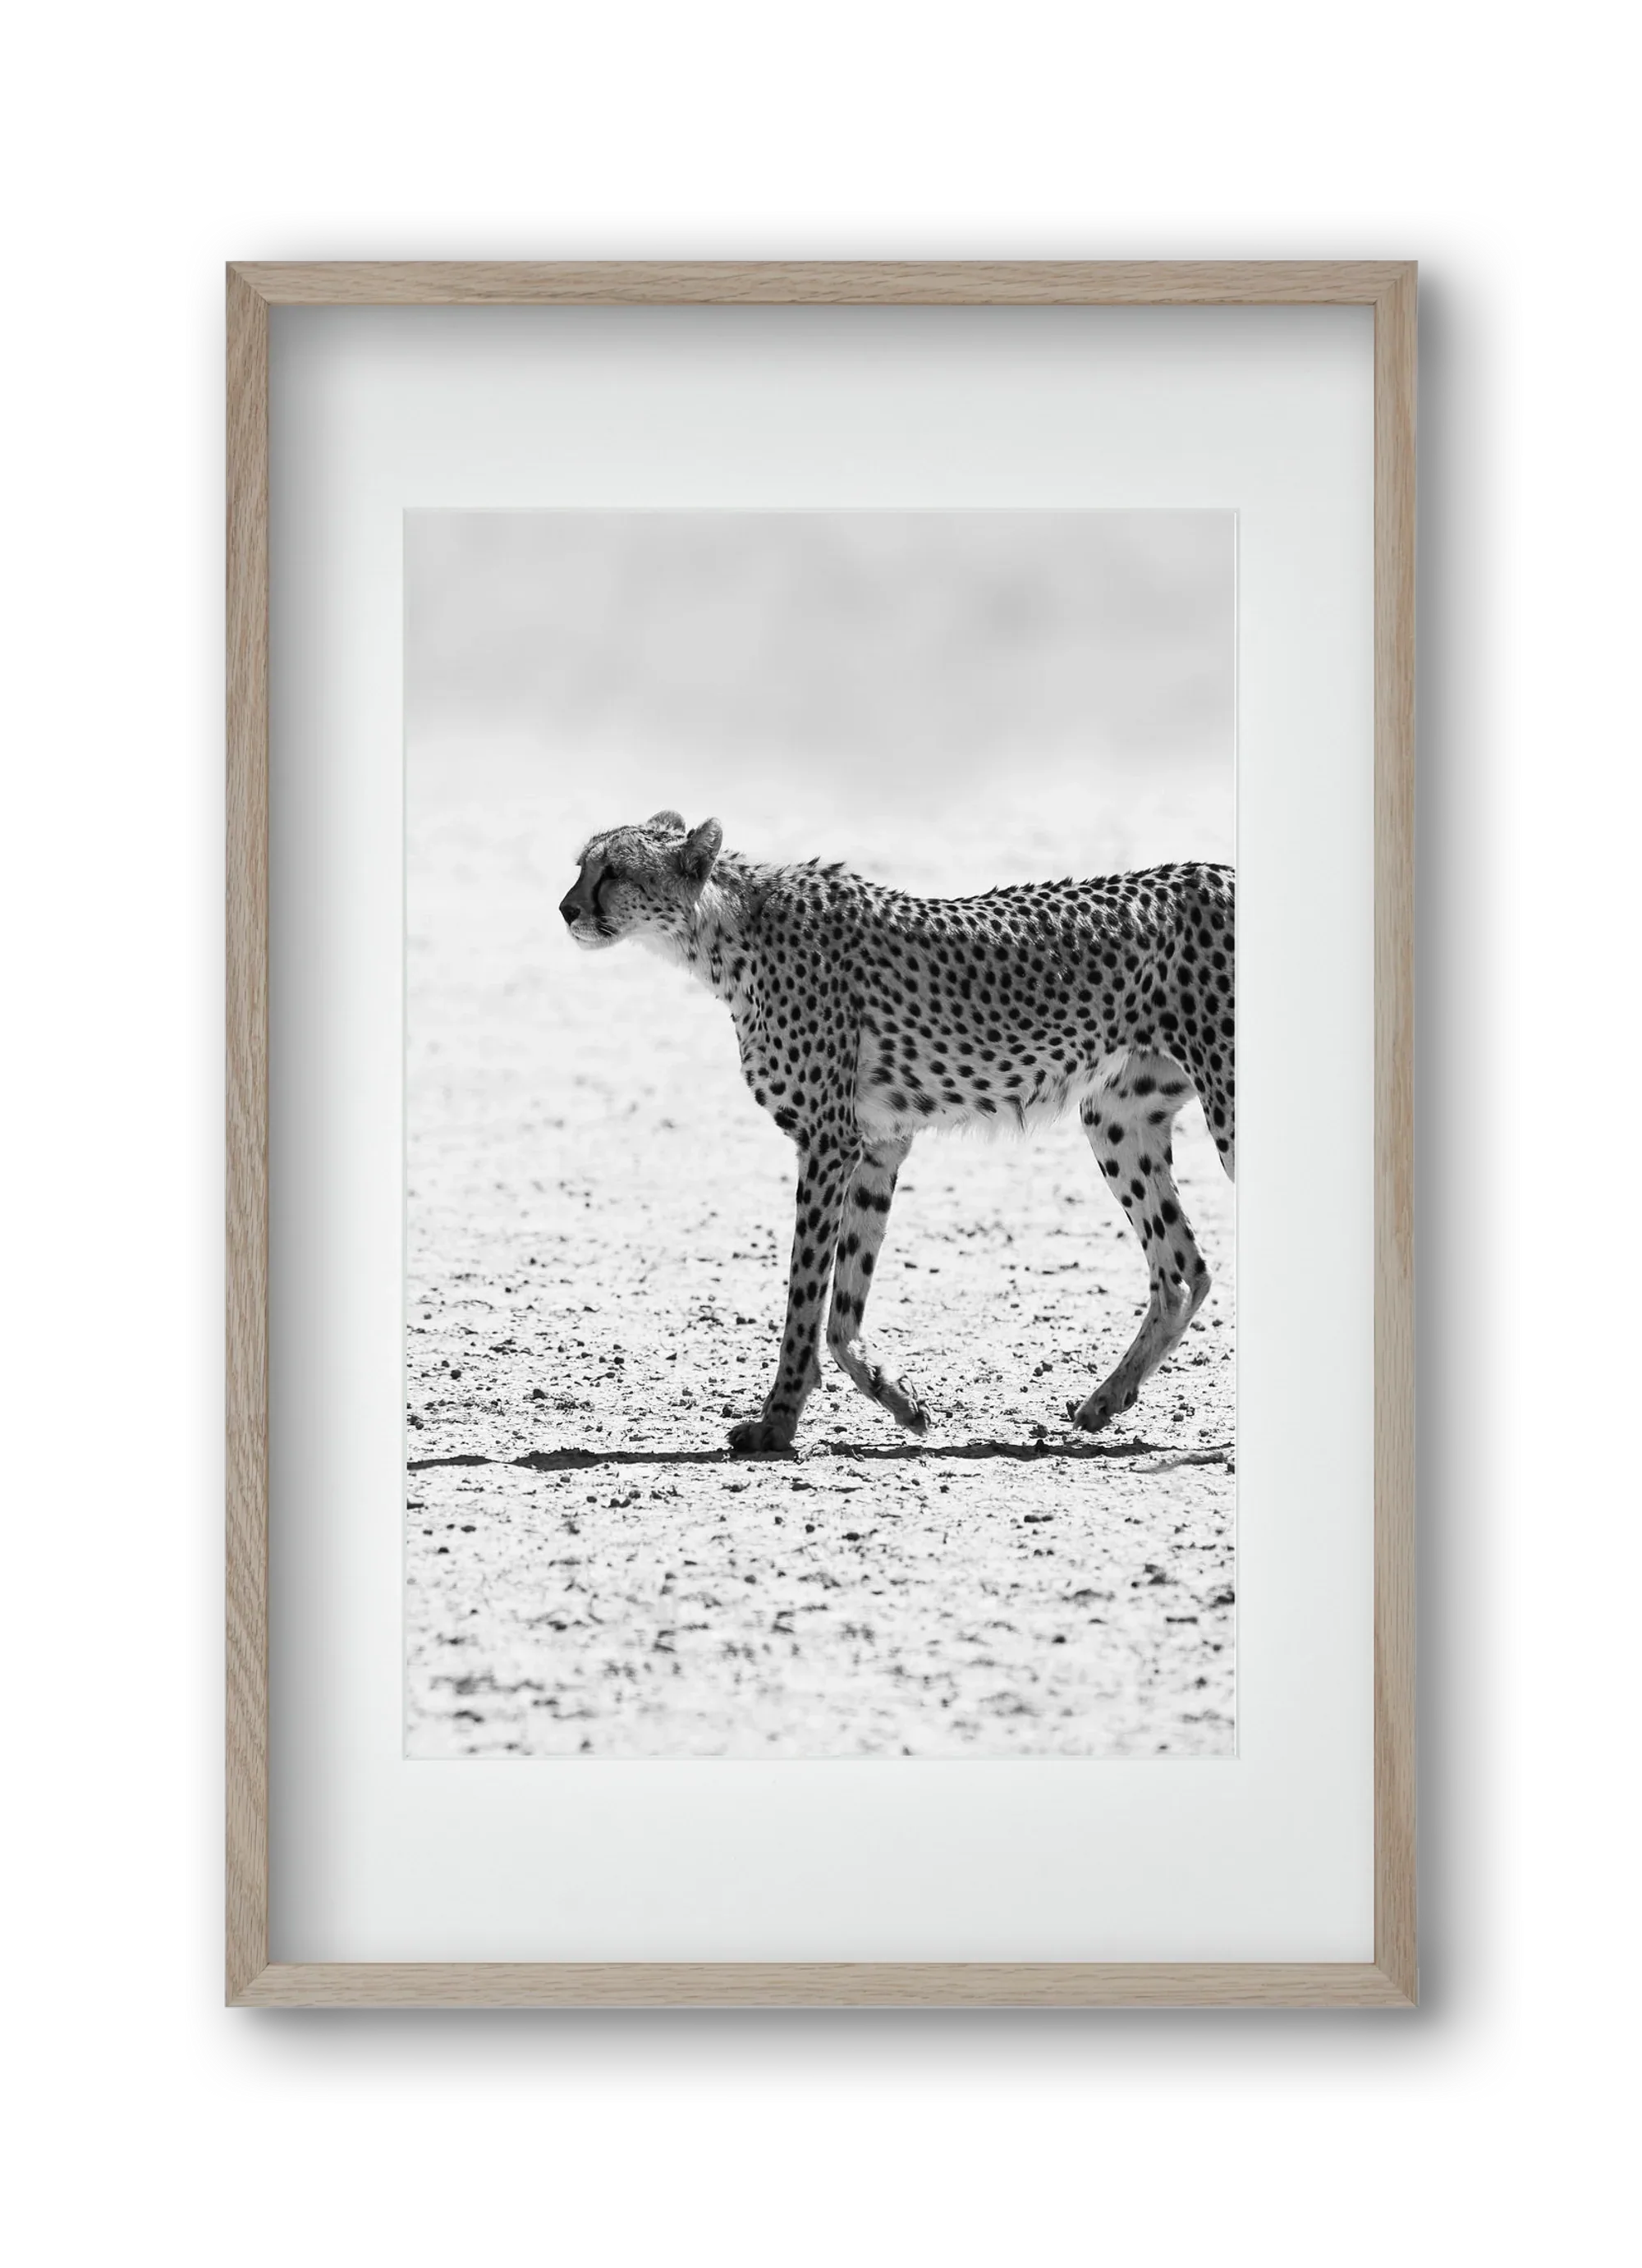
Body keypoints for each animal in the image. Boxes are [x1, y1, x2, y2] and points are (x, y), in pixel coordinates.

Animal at [559, 811, 1234, 1454]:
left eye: (614, 871)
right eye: (582, 865)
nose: (566, 908)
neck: (724, 931)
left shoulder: (828, 1141)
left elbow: (805, 1294)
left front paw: (777, 1422)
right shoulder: (878, 1144)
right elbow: (842, 1306)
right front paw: (899, 1399)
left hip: (1223, 1105)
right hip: (1117, 1118)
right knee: (1182, 1270)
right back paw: (1105, 1400)